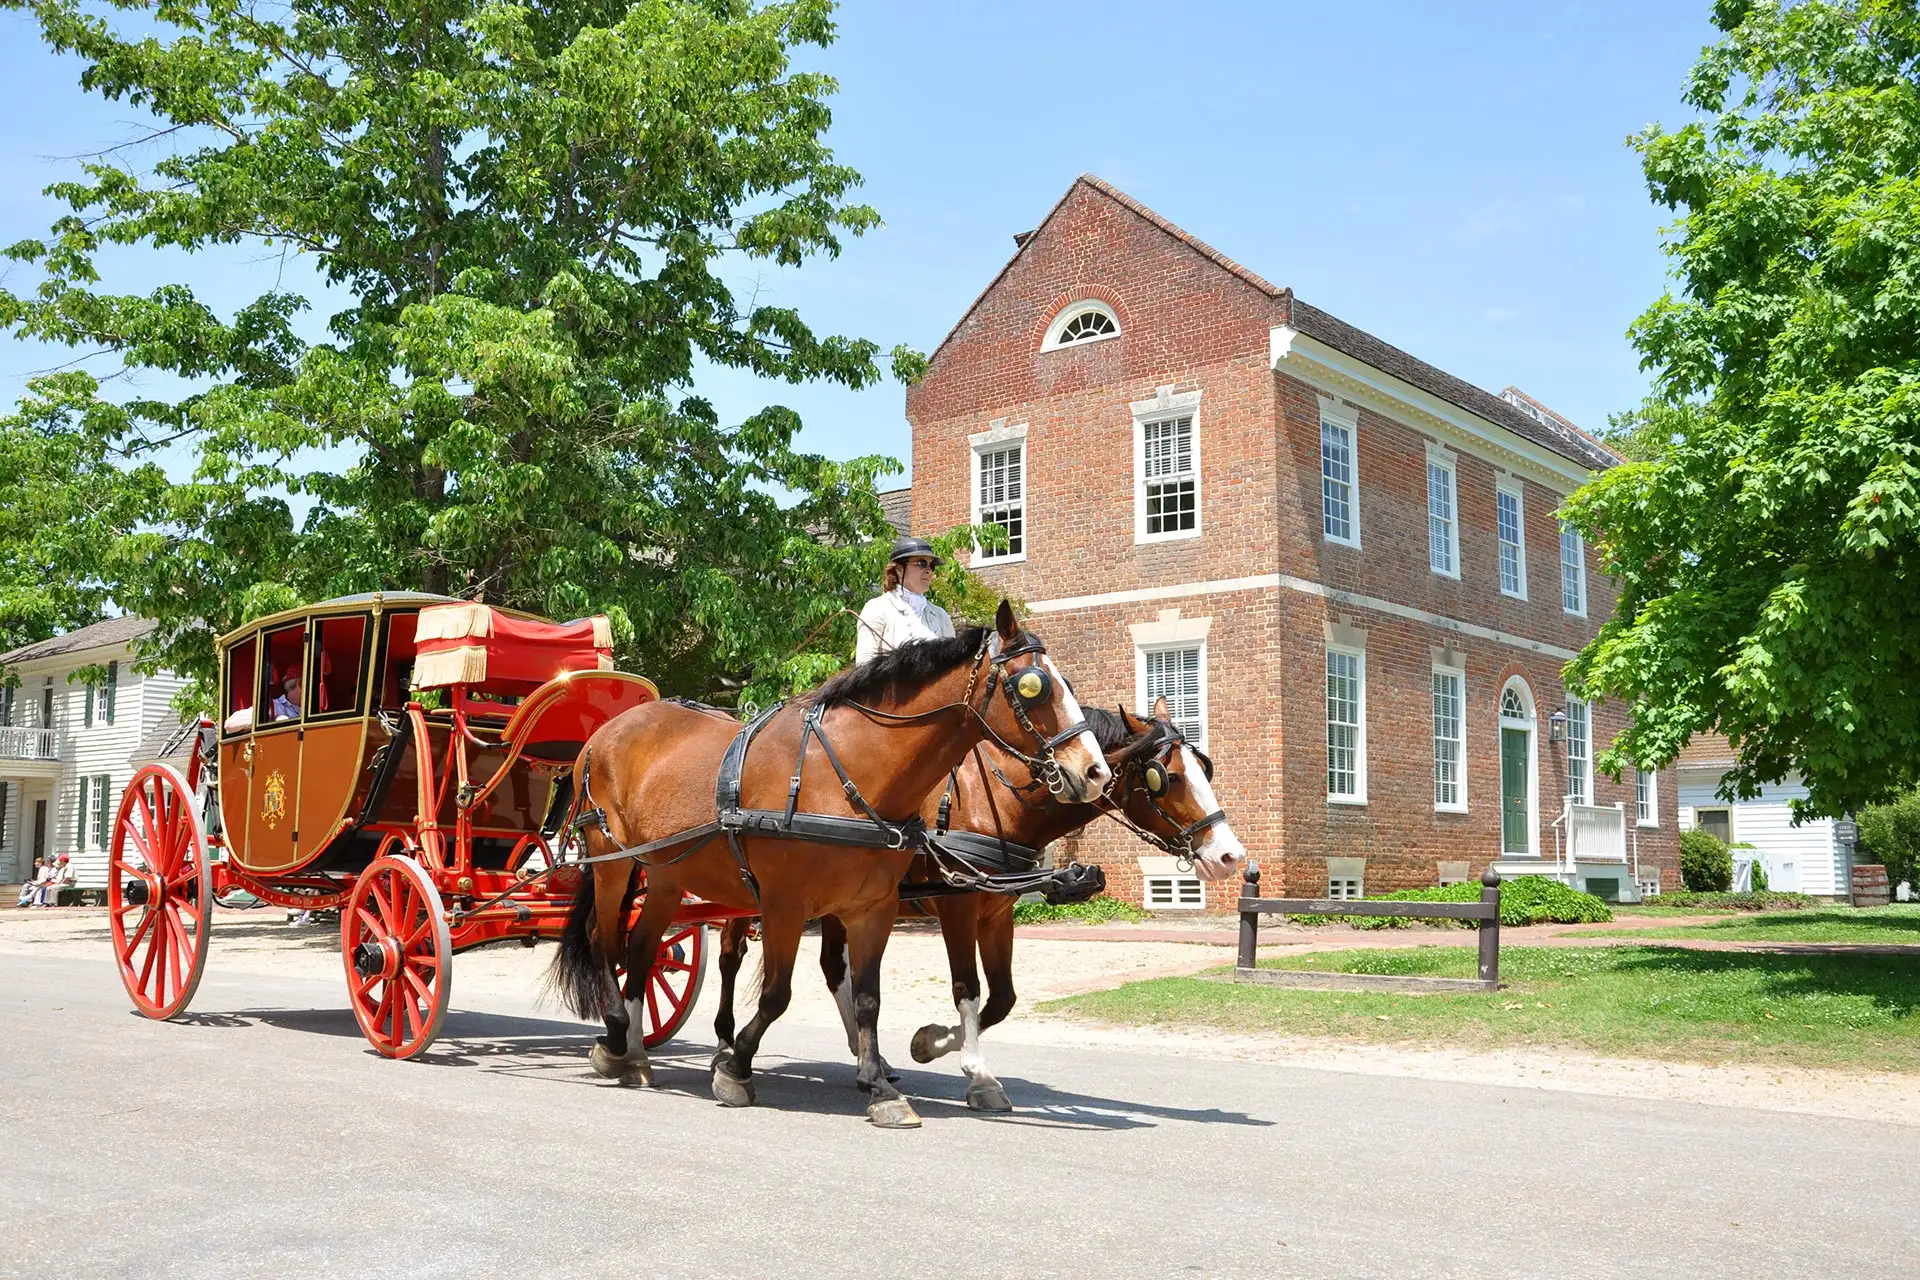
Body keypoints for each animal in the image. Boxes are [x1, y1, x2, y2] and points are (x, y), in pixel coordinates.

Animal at [549, 606, 1105, 1128]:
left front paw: (880, 1086)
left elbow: (870, 998)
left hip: (666, 875)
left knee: (643, 950)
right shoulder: (786, 905)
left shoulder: (874, 909)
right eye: (1032, 685)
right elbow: (777, 994)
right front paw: (736, 1069)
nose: (1094, 771)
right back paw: (616, 1038)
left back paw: (637, 1054)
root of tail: (608, 732)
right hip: (613, 861)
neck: (845, 776)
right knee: (606, 941)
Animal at [710, 702, 1244, 1113]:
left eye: (1206, 769)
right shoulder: (959, 909)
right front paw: (972, 1070)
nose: (1229, 856)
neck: (999, 803)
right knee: (731, 956)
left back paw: (867, 1063)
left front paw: (931, 1043)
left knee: (833, 970)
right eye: (1165, 777)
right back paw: (724, 1045)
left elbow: (1002, 997)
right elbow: (968, 987)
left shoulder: (997, 913)